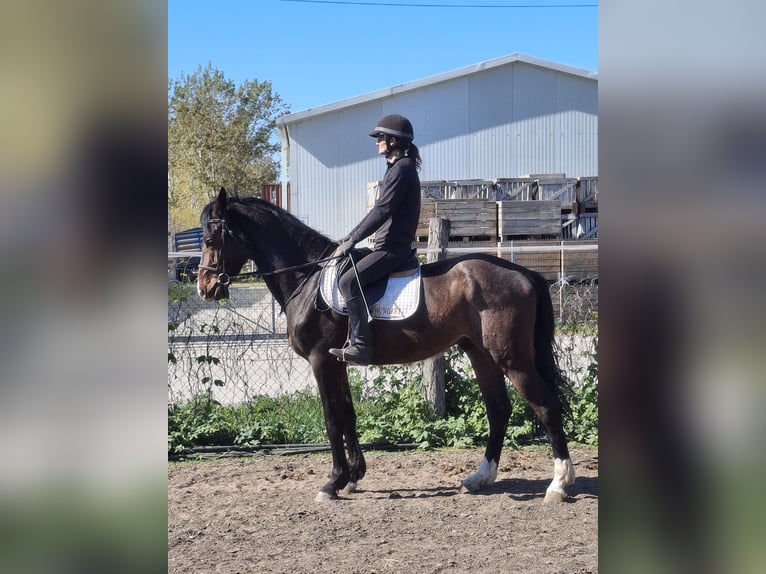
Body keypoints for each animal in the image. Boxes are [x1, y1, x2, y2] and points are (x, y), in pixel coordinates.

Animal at [197, 188, 575, 502]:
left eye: (211, 237)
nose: (205, 287)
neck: (308, 278)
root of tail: (523, 273)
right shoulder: (338, 362)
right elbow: (347, 414)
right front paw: (352, 477)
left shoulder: (321, 361)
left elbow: (332, 418)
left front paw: (332, 483)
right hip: (480, 354)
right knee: (499, 410)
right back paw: (479, 478)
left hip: (512, 359)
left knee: (545, 406)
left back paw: (558, 484)